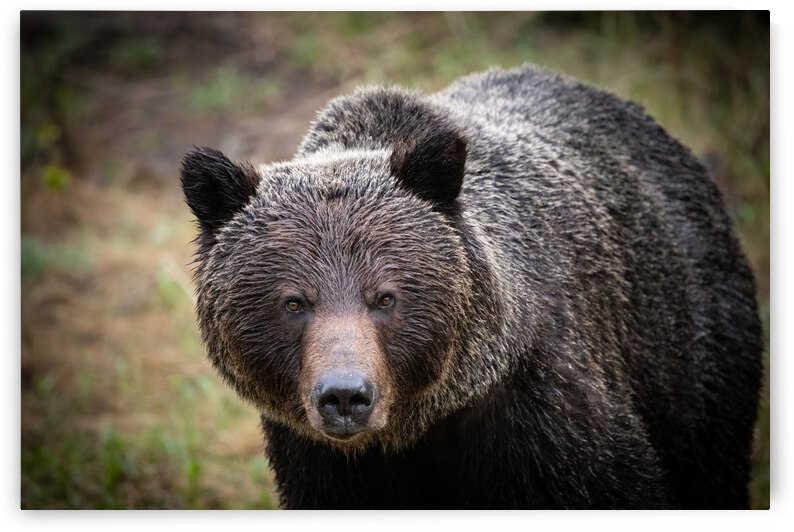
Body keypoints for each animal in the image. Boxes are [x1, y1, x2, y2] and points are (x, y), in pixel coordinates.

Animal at [180, 65, 763, 509]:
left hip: (691, 351)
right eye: (295, 302)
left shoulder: (543, 416)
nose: (345, 396)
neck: (416, 425)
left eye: (385, 297)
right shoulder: (323, 460)